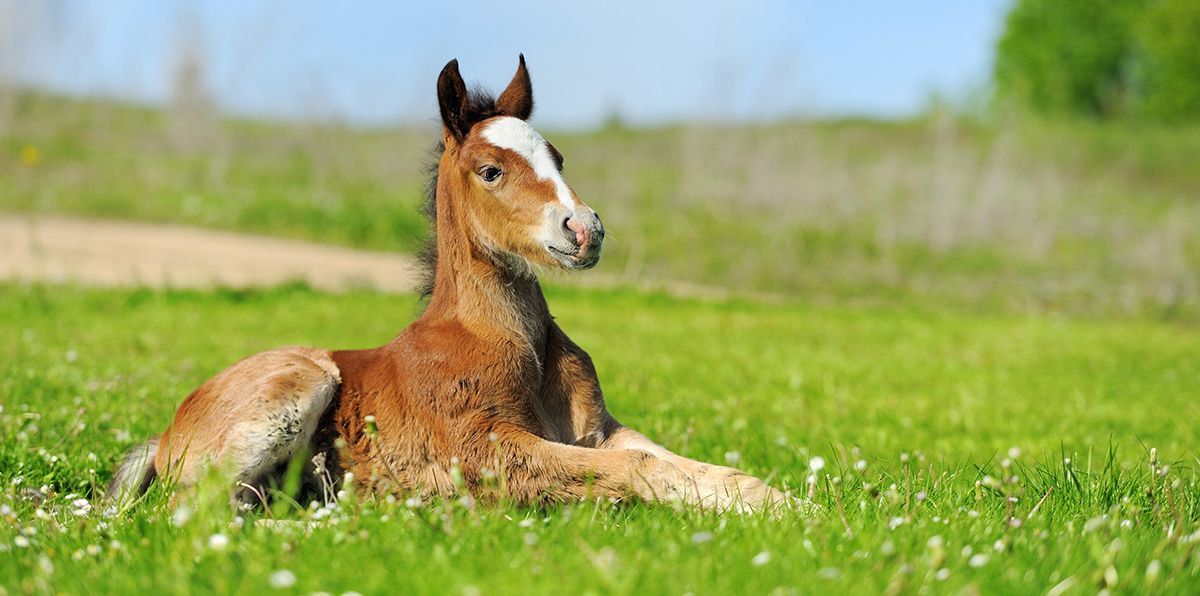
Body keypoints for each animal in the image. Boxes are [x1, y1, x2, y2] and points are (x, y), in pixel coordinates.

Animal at [108, 55, 792, 510]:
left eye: (558, 158)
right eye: (490, 170)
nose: (584, 230)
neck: (514, 345)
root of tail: (165, 434)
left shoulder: (600, 429)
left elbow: (680, 463)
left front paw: (792, 509)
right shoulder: (485, 451)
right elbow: (630, 469)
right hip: (300, 382)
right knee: (196, 512)